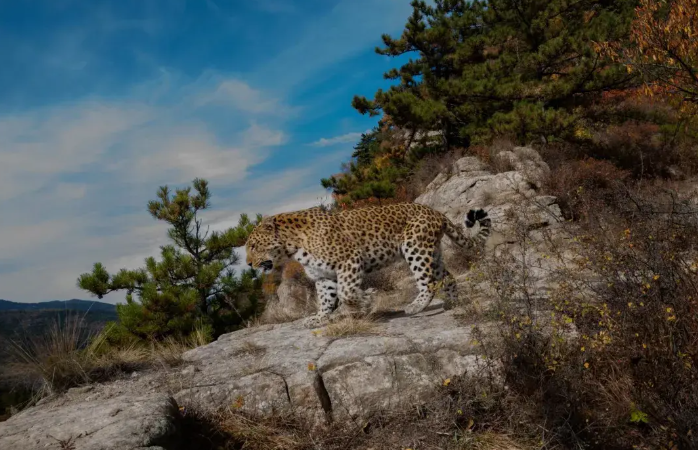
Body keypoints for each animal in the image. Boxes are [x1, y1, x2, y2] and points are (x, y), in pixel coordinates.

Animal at [245, 203, 490, 326]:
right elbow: (326, 299)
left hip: (415, 247)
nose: (247, 264)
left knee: (428, 282)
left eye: (253, 246)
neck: (293, 246)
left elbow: (346, 293)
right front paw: (319, 318)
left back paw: (416, 306)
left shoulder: (349, 260)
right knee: (446, 276)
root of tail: (435, 211)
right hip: (432, 252)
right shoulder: (323, 276)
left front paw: (368, 299)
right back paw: (452, 302)